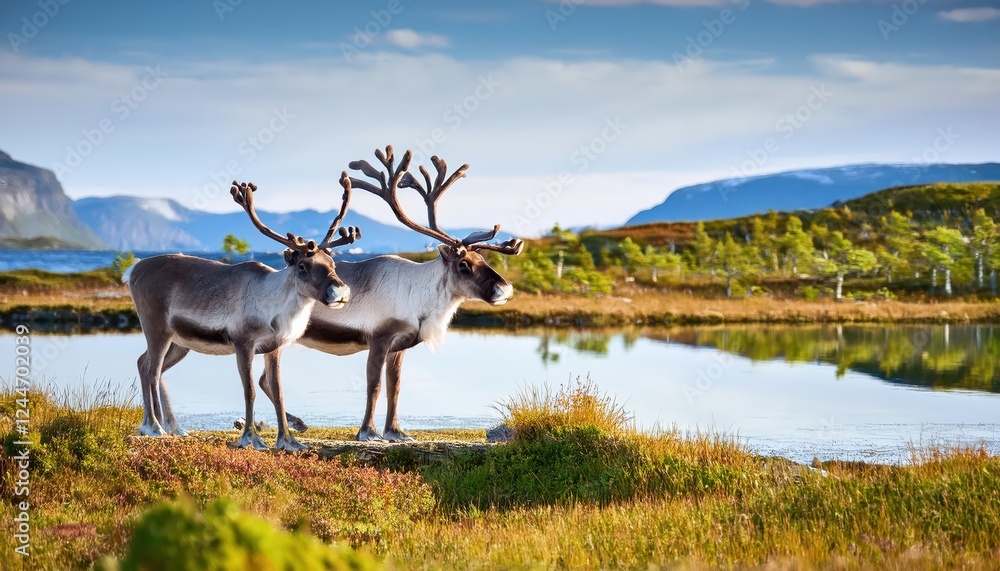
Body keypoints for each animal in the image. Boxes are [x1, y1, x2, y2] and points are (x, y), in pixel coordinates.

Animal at [127, 174, 361, 451]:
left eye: (332, 263)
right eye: (303, 266)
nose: (341, 291)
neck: (273, 308)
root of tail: (133, 270)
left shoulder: (274, 348)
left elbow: (279, 392)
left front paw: (289, 441)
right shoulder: (243, 342)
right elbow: (250, 390)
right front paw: (251, 438)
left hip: (180, 342)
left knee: (145, 364)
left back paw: (169, 428)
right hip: (155, 327)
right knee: (150, 369)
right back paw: (154, 427)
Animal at [255, 146, 524, 441]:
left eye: (483, 259)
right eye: (464, 264)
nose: (505, 288)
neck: (420, 300)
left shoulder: (400, 345)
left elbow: (395, 386)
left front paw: (396, 431)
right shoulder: (379, 337)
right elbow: (374, 385)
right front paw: (368, 431)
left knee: (263, 379)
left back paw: (298, 422)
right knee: (266, 378)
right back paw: (296, 423)